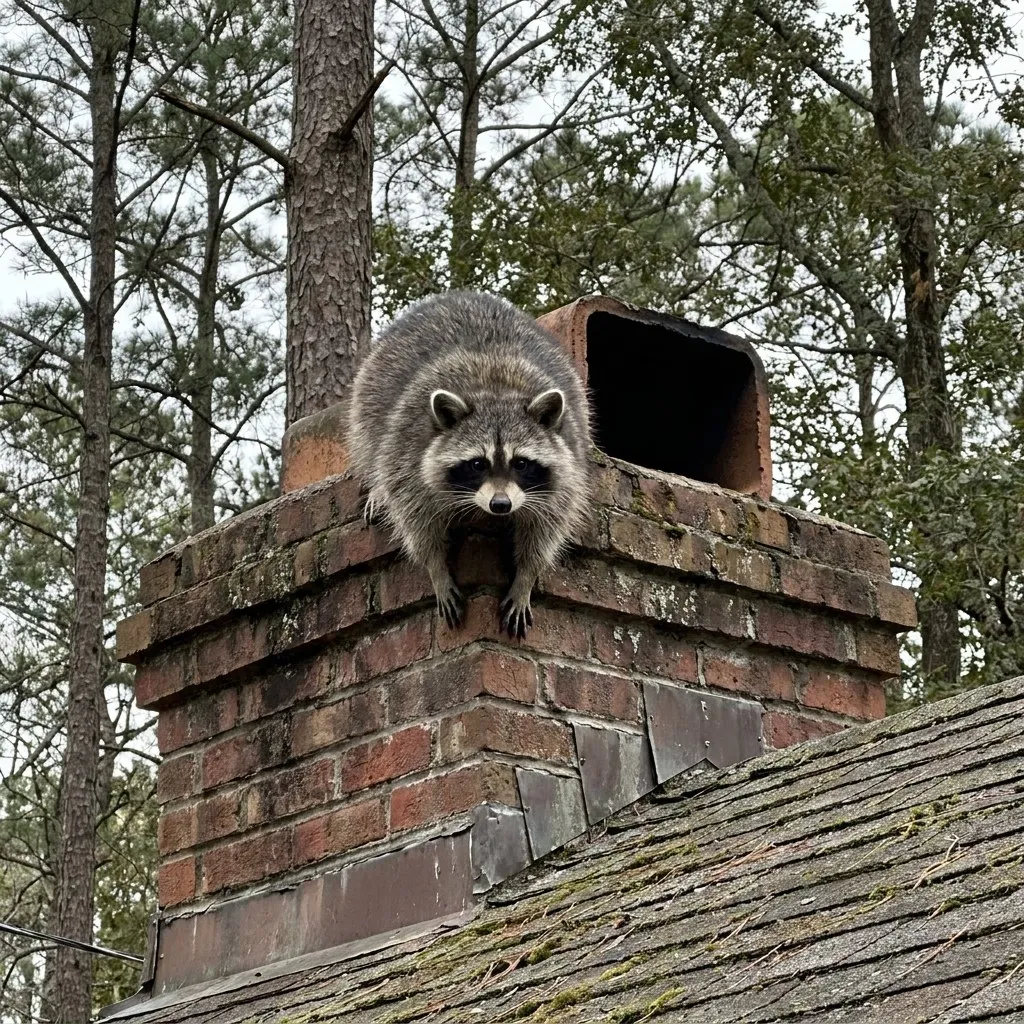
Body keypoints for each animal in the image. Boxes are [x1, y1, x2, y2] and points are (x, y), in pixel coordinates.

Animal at [347, 291, 592, 637]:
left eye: (520, 463)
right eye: (478, 464)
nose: (500, 504)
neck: (496, 390)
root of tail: (459, 295)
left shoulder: (568, 465)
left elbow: (546, 528)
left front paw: (526, 577)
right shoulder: (407, 455)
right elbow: (417, 522)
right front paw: (436, 568)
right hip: (370, 391)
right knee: (368, 437)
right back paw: (377, 486)